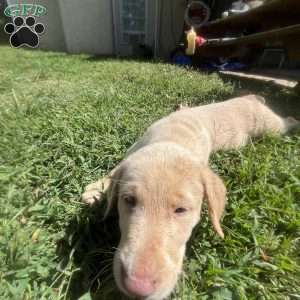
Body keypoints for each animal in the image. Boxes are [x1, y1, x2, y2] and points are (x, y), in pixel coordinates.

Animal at [82, 94, 300, 300]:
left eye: (181, 210)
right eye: (128, 200)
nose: (137, 287)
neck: (173, 137)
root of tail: (250, 98)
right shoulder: (133, 150)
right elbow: (116, 169)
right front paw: (96, 189)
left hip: (270, 125)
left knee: (285, 122)